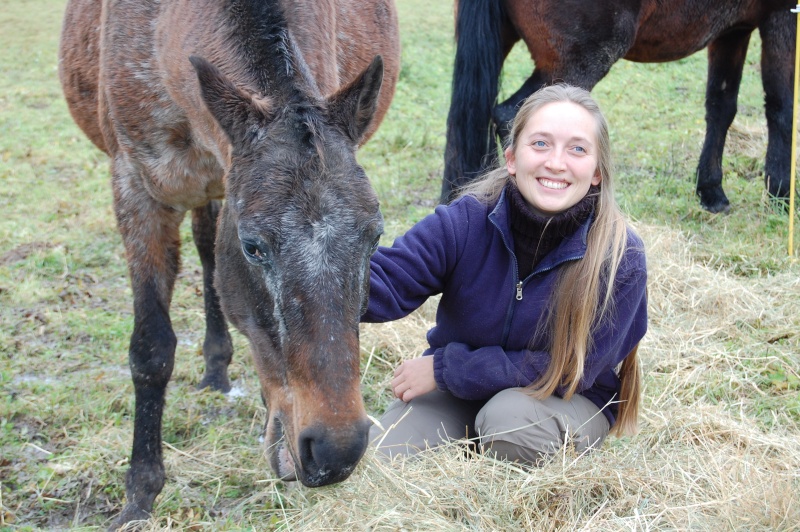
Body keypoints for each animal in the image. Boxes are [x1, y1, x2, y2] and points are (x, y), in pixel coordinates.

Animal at [58, 0, 400, 524]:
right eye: (254, 246)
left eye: (375, 237)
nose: (335, 450)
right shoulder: (136, 191)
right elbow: (151, 349)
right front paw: (139, 495)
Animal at [440, 0, 796, 212]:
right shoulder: (783, 16)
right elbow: (783, 107)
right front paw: (782, 195)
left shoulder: (733, 29)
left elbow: (721, 107)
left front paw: (711, 191)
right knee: (511, 114)